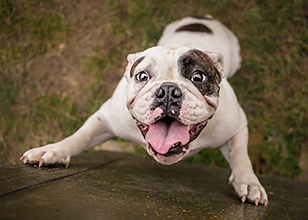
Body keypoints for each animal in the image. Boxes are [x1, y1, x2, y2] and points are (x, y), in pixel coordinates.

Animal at [20, 15, 268, 206]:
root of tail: (203, 17)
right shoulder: (105, 119)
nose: (168, 91)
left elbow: (241, 155)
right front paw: (52, 151)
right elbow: (80, 137)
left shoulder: (237, 125)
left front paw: (249, 183)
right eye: (142, 76)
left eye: (198, 77)